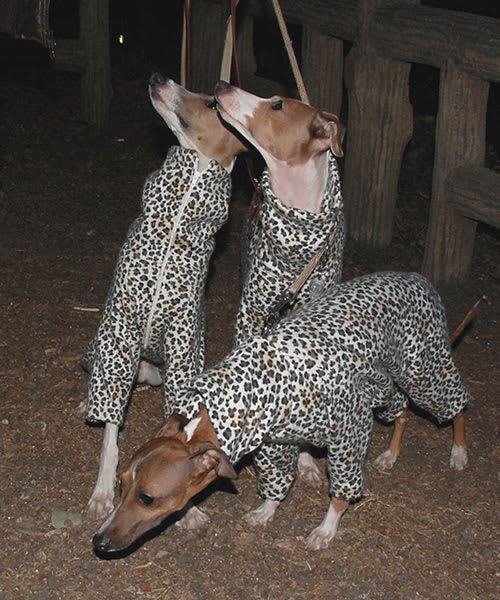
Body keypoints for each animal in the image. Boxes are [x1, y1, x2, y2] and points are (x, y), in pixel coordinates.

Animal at [77, 77, 246, 524]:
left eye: (211, 102)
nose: (158, 77)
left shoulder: (183, 341)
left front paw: (188, 510)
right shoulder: (121, 328)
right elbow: (111, 437)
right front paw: (103, 491)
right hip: (105, 350)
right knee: (98, 379)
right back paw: (86, 402)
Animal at [93, 272, 468, 552]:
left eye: (148, 498)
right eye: (120, 483)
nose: (98, 540)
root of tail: (418, 278)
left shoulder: (349, 430)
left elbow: (341, 489)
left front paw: (327, 527)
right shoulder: (274, 442)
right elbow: (277, 478)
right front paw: (268, 508)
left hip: (423, 371)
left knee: (456, 404)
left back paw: (459, 451)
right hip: (389, 383)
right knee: (401, 409)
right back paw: (391, 455)